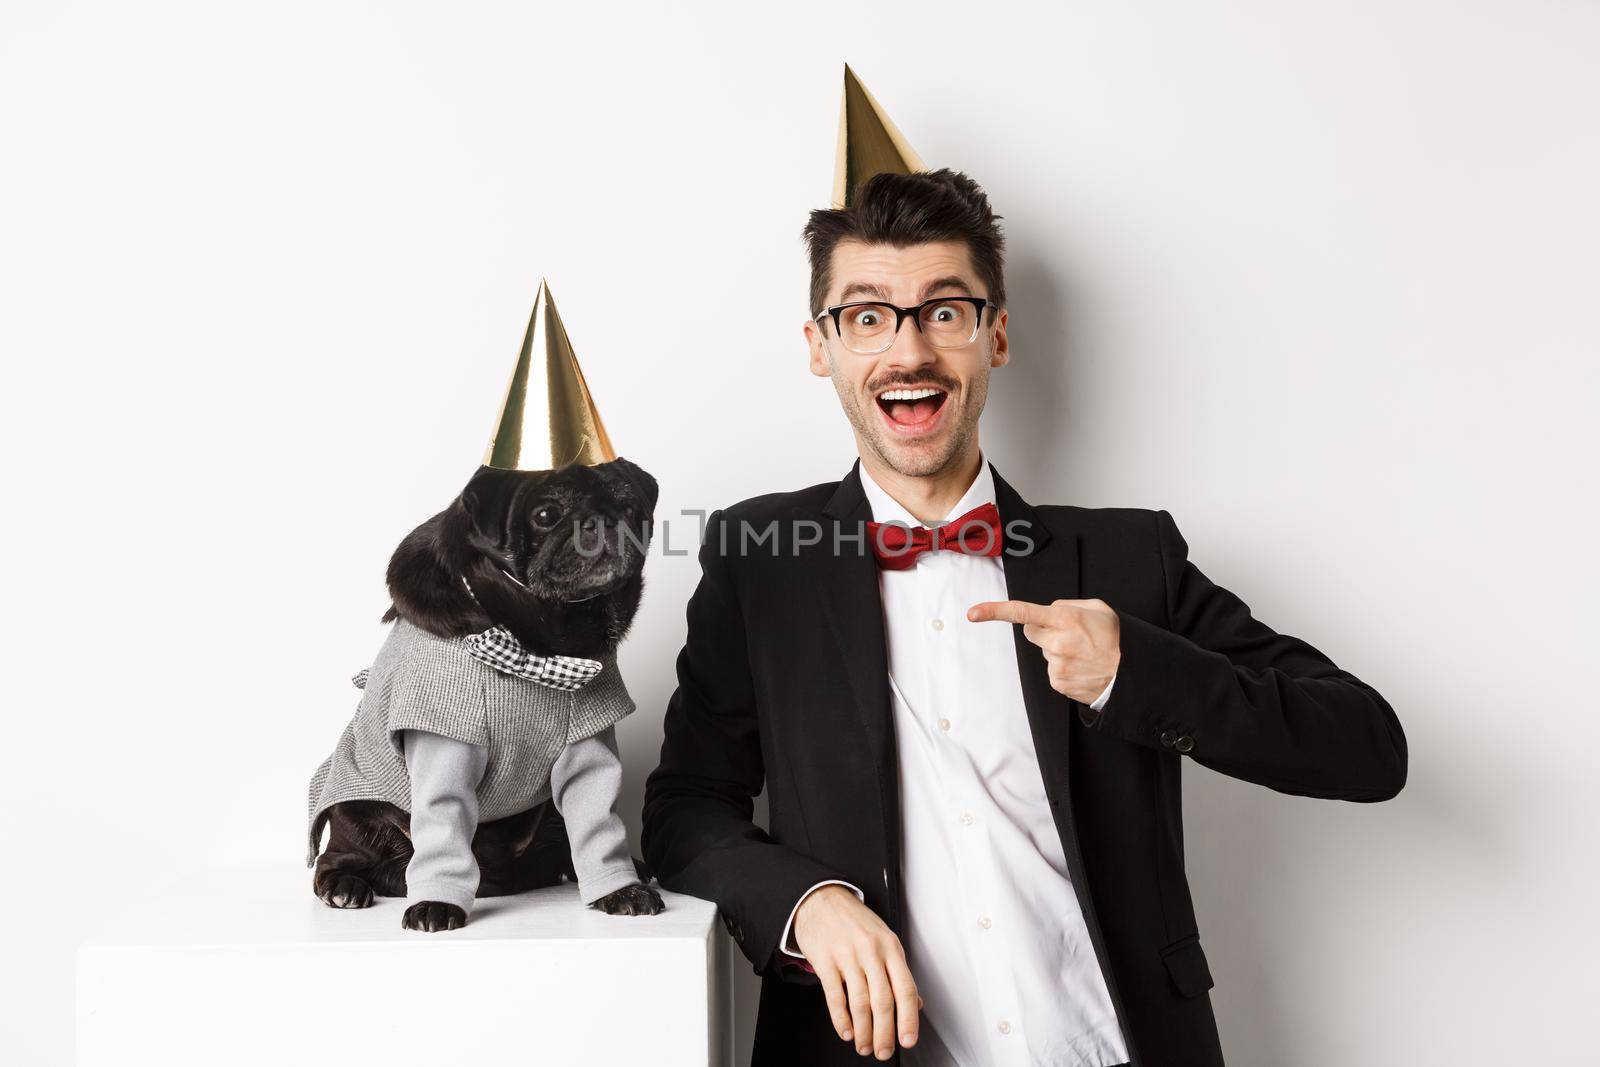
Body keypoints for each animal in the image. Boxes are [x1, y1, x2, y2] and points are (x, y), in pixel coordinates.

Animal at [308, 454, 665, 927]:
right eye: (545, 515)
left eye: (628, 508)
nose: (601, 522)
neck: (545, 640)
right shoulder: (445, 743)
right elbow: (442, 830)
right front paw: (436, 903)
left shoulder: (589, 746)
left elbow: (598, 826)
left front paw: (620, 888)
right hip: (356, 811)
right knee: (337, 857)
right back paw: (346, 886)